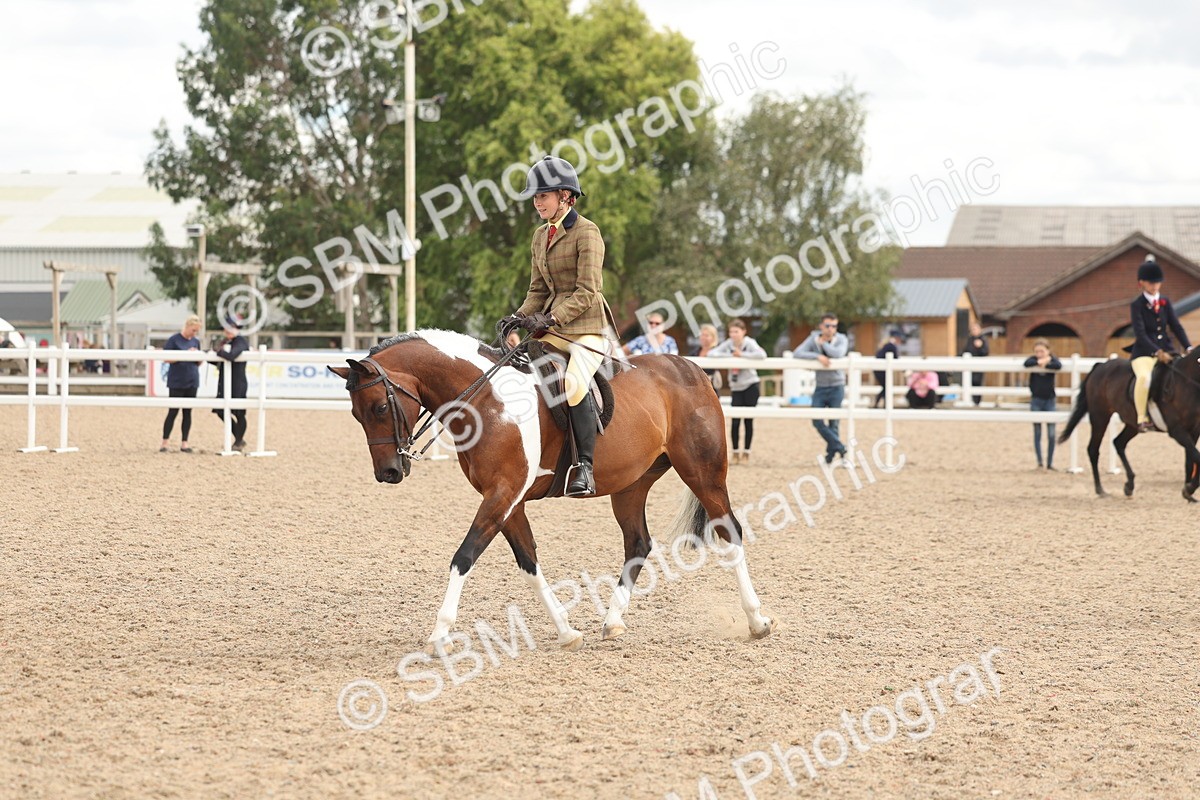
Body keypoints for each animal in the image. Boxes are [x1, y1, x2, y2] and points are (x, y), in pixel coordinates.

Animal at [328, 329, 775, 652]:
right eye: (355, 414)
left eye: (380, 407)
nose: (388, 472)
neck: (488, 401)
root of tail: (691, 368)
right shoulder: (508, 501)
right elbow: (529, 563)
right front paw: (566, 631)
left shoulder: (502, 494)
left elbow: (464, 557)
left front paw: (439, 635)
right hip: (631, 485)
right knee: (638, 543)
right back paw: (612, 622)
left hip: (702, 472)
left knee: (729, 532)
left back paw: (757, 620)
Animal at [1057, 352, 1200, 501]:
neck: (1186, 382)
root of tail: (1100, 365)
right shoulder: (1176, 430)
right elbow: (1197, 457)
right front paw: (1189, 489)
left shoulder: (1194, 430)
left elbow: (1191, 459)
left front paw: (1188, 491)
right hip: (1100, 417)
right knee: (1093, 450)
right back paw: (1101, 490)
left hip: (1132, 425)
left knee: (1118, 442)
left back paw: (1129, 485)